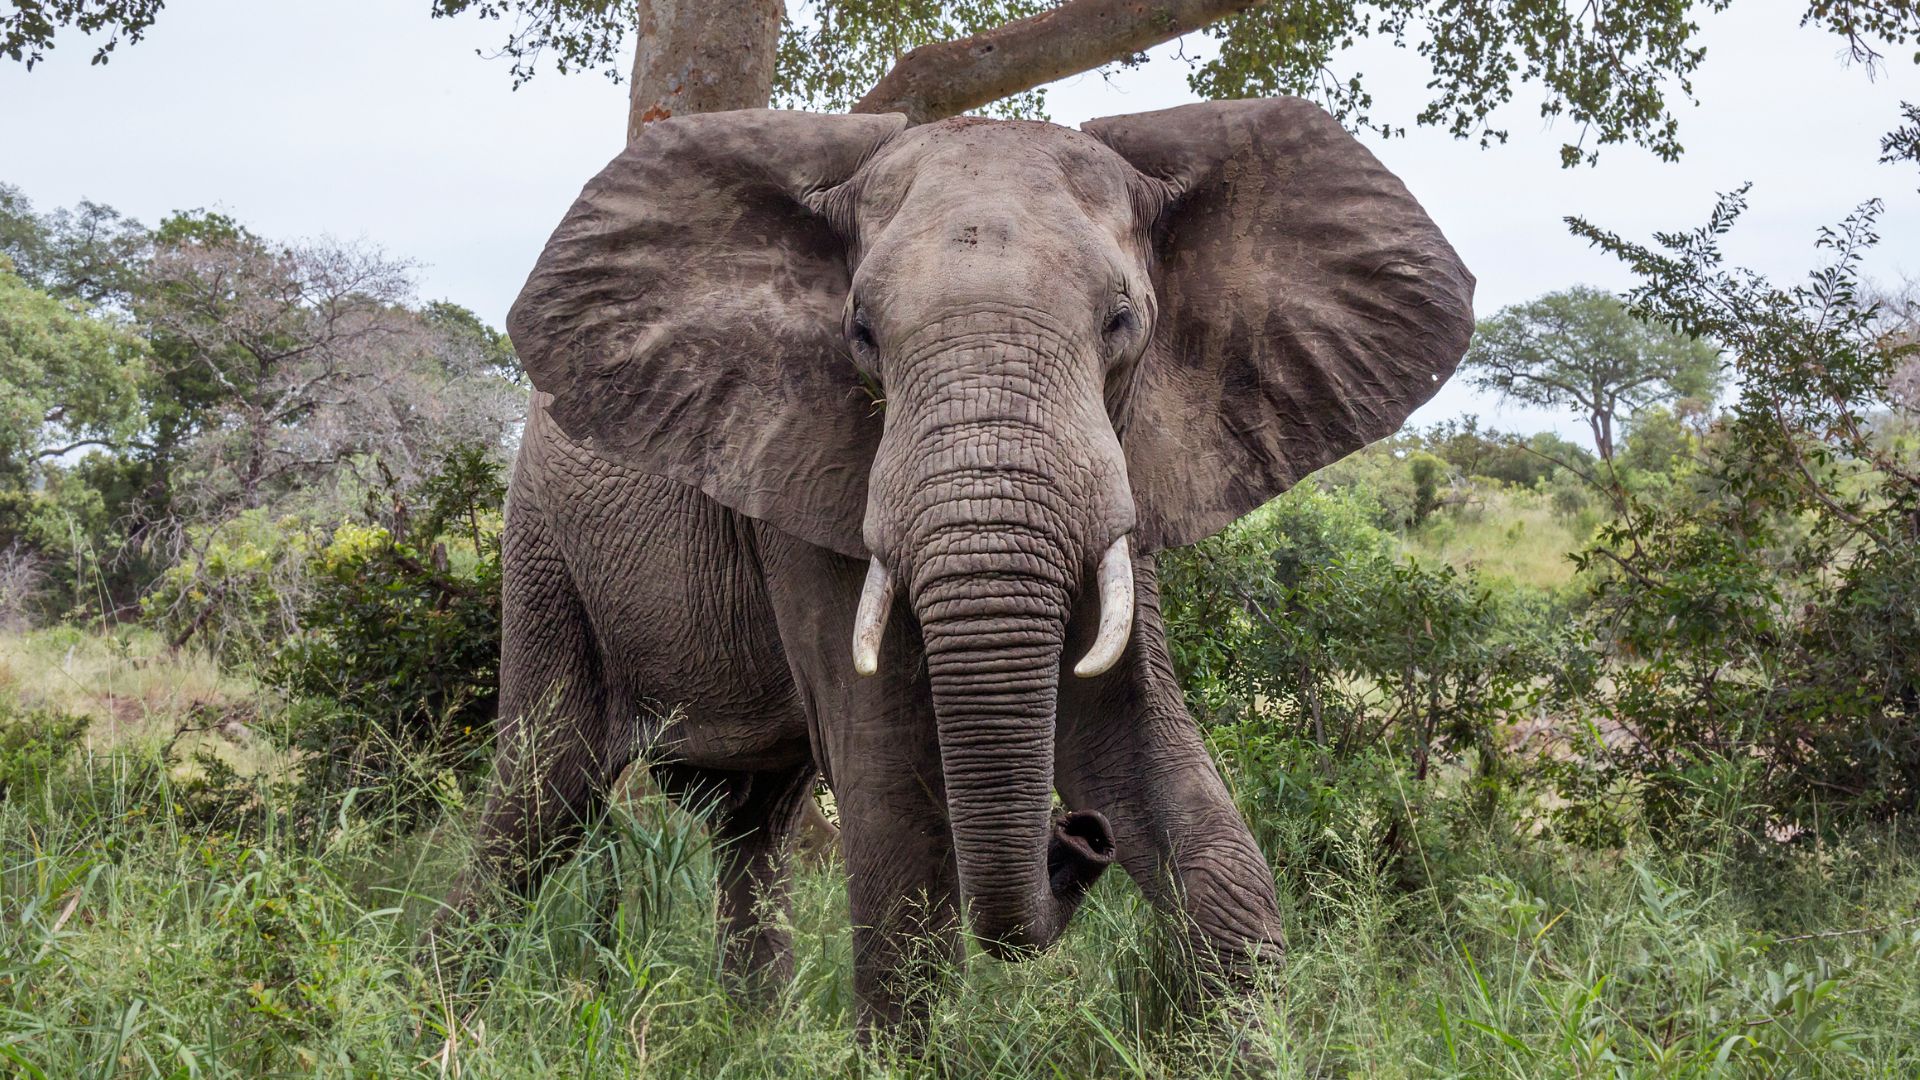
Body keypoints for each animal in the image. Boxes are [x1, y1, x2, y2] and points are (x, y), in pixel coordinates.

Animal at [447, 96, 1474, 1034]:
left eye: (1121, 321)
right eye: (861, 332)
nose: (1078, 837)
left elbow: (1137, 746)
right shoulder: (808, 473)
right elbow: (895, 798)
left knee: (752, 826)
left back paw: (753, 1039)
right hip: (542, 547)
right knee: (538, 799)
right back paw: (447, 1016)